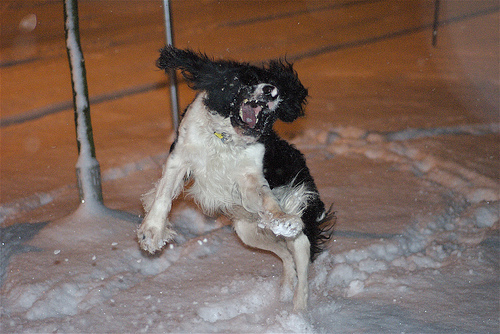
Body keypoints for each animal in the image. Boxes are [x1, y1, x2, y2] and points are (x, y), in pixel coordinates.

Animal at [137, 46, 334, 310]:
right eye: (243, 80)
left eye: (274, 83)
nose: (271, 90)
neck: (226, 138)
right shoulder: (180, 156)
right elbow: (163, 195)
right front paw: (152, 232)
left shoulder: (250, 175)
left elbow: (268, 199)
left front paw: (282, 219)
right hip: (247, 231)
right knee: (284, 254)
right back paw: (285, 288)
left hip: (296, 215)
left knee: (301, 257)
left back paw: (297, 311)